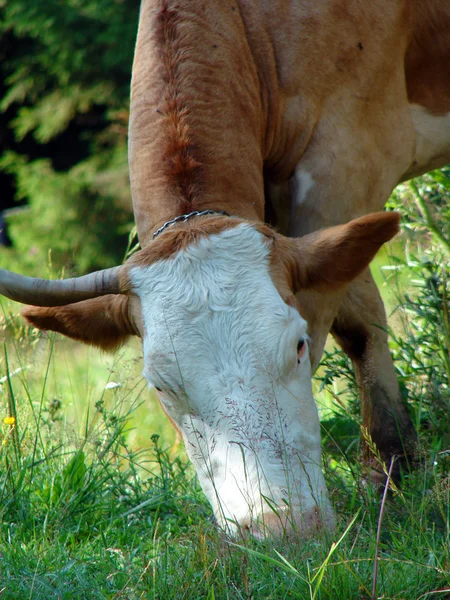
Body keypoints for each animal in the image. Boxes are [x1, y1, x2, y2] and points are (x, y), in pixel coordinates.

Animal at [0, 0, 450, 536]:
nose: (278, 529)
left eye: (298, 346)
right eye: (159, 385)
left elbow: (356, 319)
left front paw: (389, 472)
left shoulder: (347, 164)